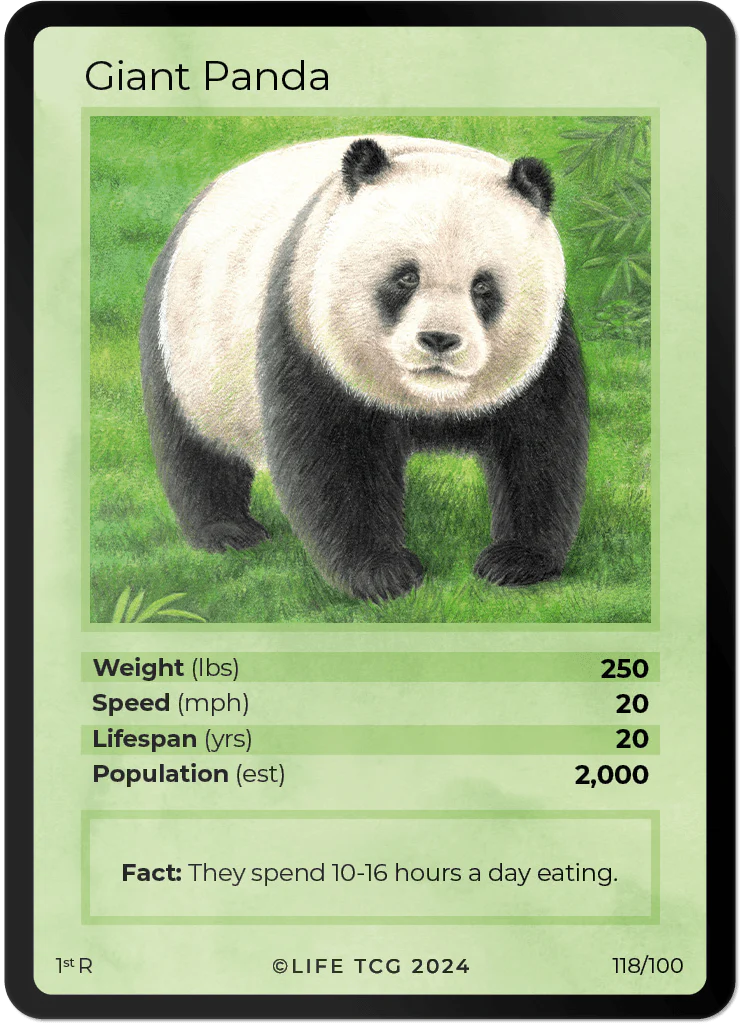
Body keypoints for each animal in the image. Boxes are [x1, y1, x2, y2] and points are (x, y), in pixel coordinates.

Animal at [140, 135, 588, 602]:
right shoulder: (306, 329)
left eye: (483, 286)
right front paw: (382, 573)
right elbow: (335, 461)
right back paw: (227, 531)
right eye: (406, 278)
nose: (439, 340)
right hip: (185, 346)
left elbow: (539, 448)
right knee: (192, 447)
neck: (431, 403)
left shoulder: (546, 354)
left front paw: (516, 561)